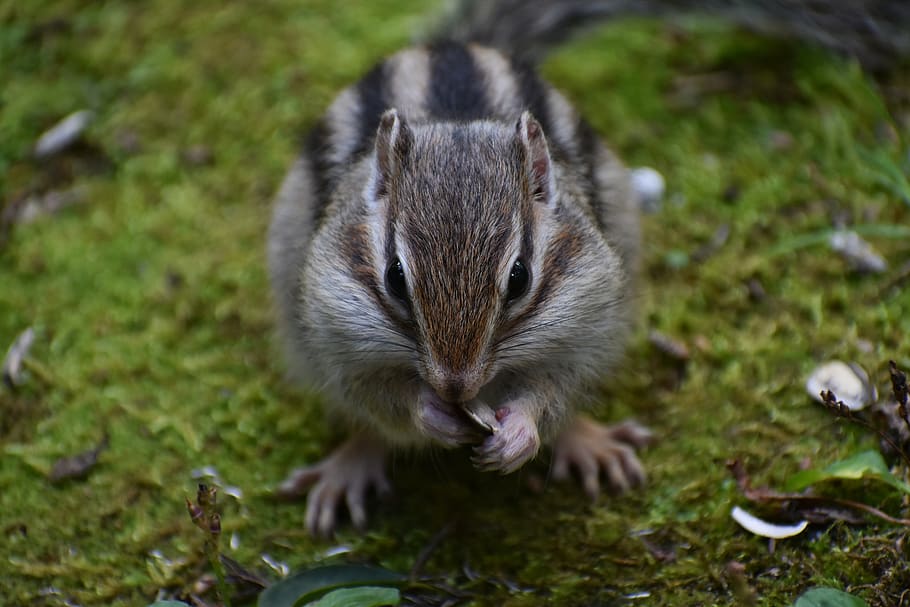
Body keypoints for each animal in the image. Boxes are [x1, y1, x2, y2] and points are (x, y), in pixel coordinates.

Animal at [267, 0, 909, 536]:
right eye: (396, 279)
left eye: (520, 278)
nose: (456, 387)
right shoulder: (334, 333)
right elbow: (378, 396)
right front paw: (430, 412)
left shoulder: (585, 322)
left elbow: (556, 391)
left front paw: (521, 432)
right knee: (362, 423)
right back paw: (348, 468)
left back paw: (590, 445)